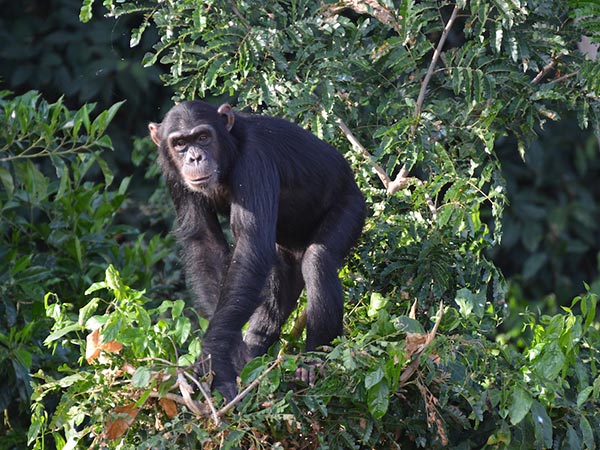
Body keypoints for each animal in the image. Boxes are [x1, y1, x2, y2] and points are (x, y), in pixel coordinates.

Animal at [150, 100, 366, 400]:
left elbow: (250, 247)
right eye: (180, 143)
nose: (194, 157)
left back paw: (314, 362)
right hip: (287, 251)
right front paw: (232, 353)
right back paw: (255, 349)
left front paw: (214, 356)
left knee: (317, 260)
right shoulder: (173, 177)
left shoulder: (255, 161)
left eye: (203, 137)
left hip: (352, 206)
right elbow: (205, 243)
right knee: (278, 287)